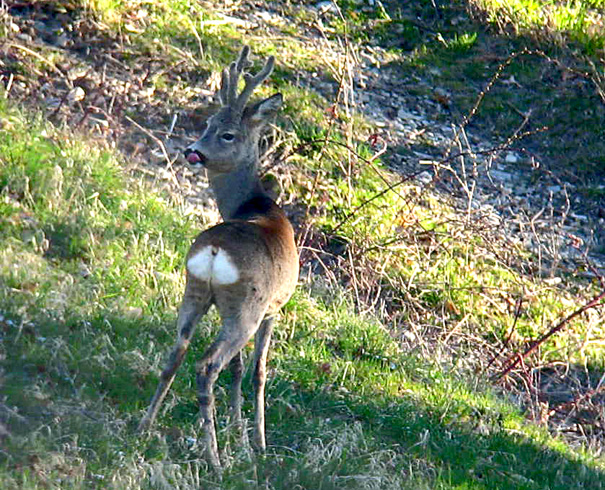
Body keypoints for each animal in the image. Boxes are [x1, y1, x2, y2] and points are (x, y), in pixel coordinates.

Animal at [136, 46, 298, 468]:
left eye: (224, 132)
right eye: (210, 124)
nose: (193, 150)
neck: (255, 205)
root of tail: (213, 252)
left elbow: (239, 370)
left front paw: (239, 433)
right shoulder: (274, 308)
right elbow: (258, 371)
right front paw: (257, 442)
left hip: (194, 291)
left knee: (177, 353)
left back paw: (145, 425)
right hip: (245, 308)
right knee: (207, 366)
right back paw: (214, 458)